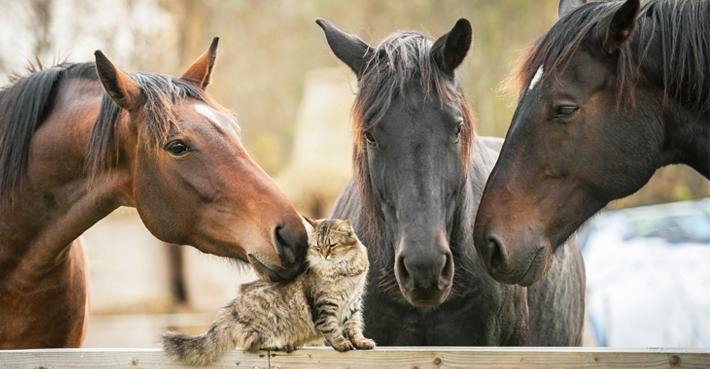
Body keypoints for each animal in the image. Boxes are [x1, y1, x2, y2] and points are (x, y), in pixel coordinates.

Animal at [163, 217, 378, 364]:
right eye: (318, 247)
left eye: (332, 246)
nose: (324, 256)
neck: (345, 273)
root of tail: (230, 312)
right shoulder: (324, 307)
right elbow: (333, 329)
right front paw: (342, 344)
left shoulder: (354, 304)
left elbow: (354, 327)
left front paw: (361, 342)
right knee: (250, 345)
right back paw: (282, 344)